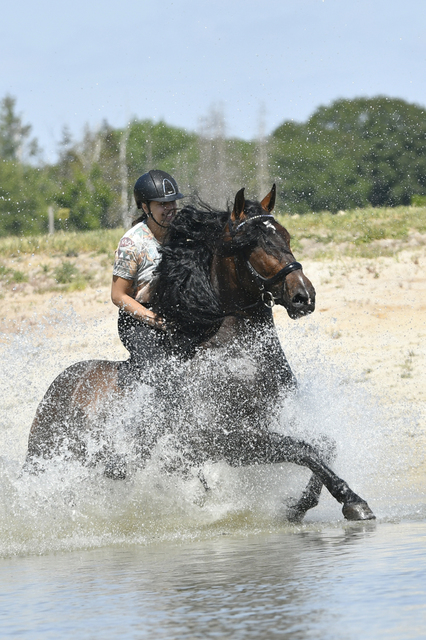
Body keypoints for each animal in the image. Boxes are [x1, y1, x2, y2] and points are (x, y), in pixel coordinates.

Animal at [25, 184, 376, 520]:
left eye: (285, 236)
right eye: (251, 244)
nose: (304, 296)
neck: (237, 361)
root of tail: (58, 386)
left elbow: (324, 445)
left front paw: (300, 505)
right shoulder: (224, 440)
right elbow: (303, 449)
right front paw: (351, 502)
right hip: (47, 458)